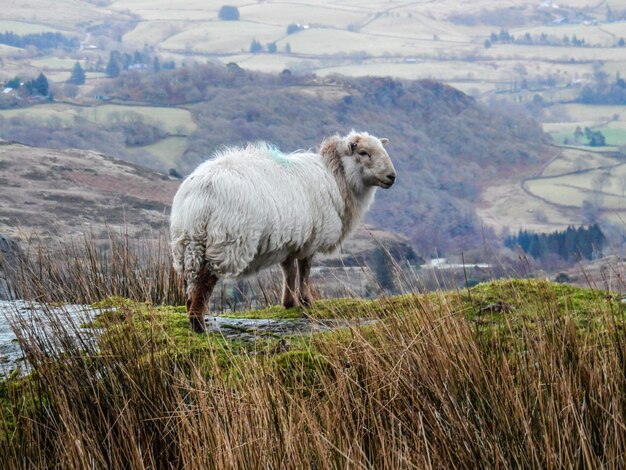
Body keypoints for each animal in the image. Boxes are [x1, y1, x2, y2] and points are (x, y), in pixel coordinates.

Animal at [171, 130, 394, 332]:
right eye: (364, 153)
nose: (392, 176)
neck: (336, 177)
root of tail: (201, 191)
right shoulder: (310, 239)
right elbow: (304, 269)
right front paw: (306, 300)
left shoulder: (291, 240)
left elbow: (289, 270)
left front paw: (288, 302)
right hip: (226, 240)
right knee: (205, 277)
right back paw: (198, 323)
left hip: (188, 241)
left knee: (189, 278)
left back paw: (191, 312)